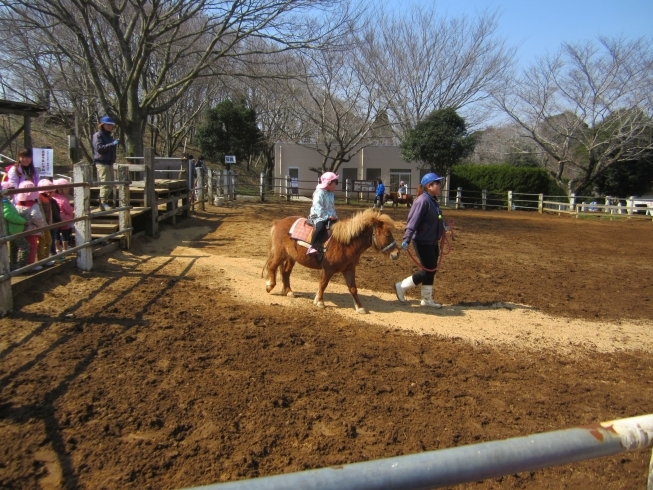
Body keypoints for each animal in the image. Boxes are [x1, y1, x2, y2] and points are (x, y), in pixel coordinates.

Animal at [264, 209, 398, 312]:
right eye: (387, 235)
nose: (396, 253)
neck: (344, 243)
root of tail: (278, 222)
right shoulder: (328, 269)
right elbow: (323, 284)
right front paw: (320, 302)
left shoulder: (349, 270)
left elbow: (353, 288)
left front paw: (360, 307)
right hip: (280, 254)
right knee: (272, 267)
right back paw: (269, 286)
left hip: (291, 257)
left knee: (285, 272)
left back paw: (288, 291)